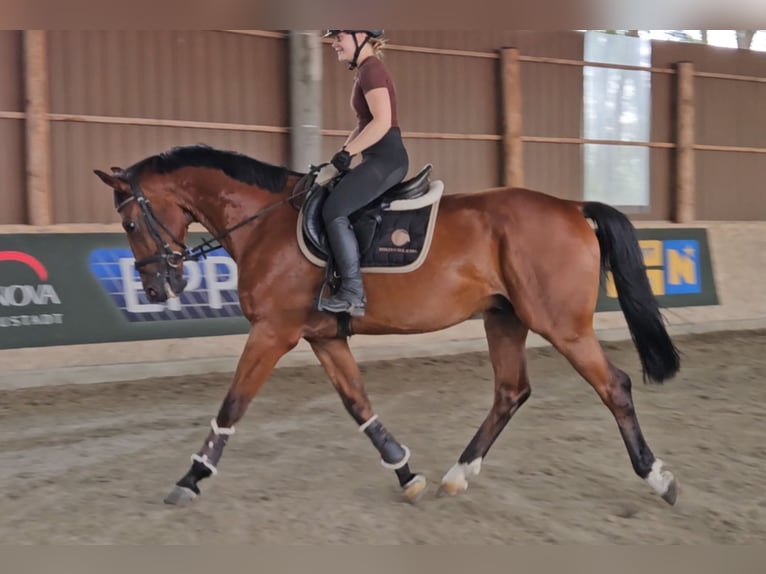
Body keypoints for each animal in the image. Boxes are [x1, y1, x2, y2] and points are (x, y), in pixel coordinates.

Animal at [93, 144, 680, 508]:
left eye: (129, 221)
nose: (157, 290)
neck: (268, 223)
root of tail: (572, 208)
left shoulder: (272, 333)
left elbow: (231, 406)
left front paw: (190, 479)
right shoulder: (324, 338)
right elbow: (360, 406)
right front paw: (406, 473)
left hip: (560, 324)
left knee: (614, 386)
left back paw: (659, 478)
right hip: (505, 319)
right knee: (511, 391)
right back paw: (456, 475)